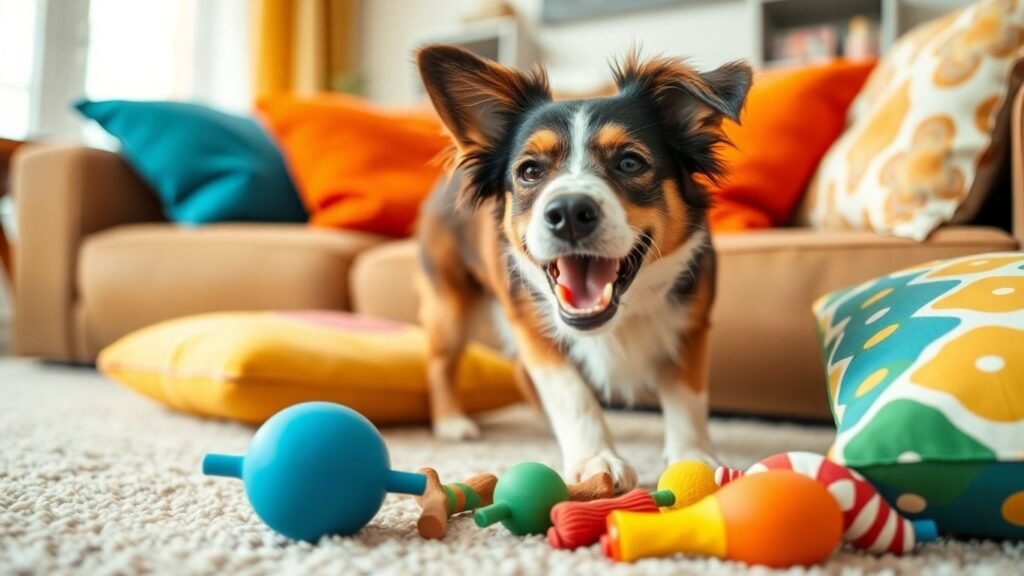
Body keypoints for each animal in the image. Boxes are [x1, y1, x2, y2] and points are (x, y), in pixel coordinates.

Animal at [413, 43, 753, 487]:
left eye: (630, 162)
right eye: (529, 170)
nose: (569, 212)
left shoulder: (691, 322)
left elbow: (688, 396)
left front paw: (692, 457)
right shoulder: (534, 325)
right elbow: (571, 394)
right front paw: (596, 457)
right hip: (451, 303)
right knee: (439, 362)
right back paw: (452, 422)